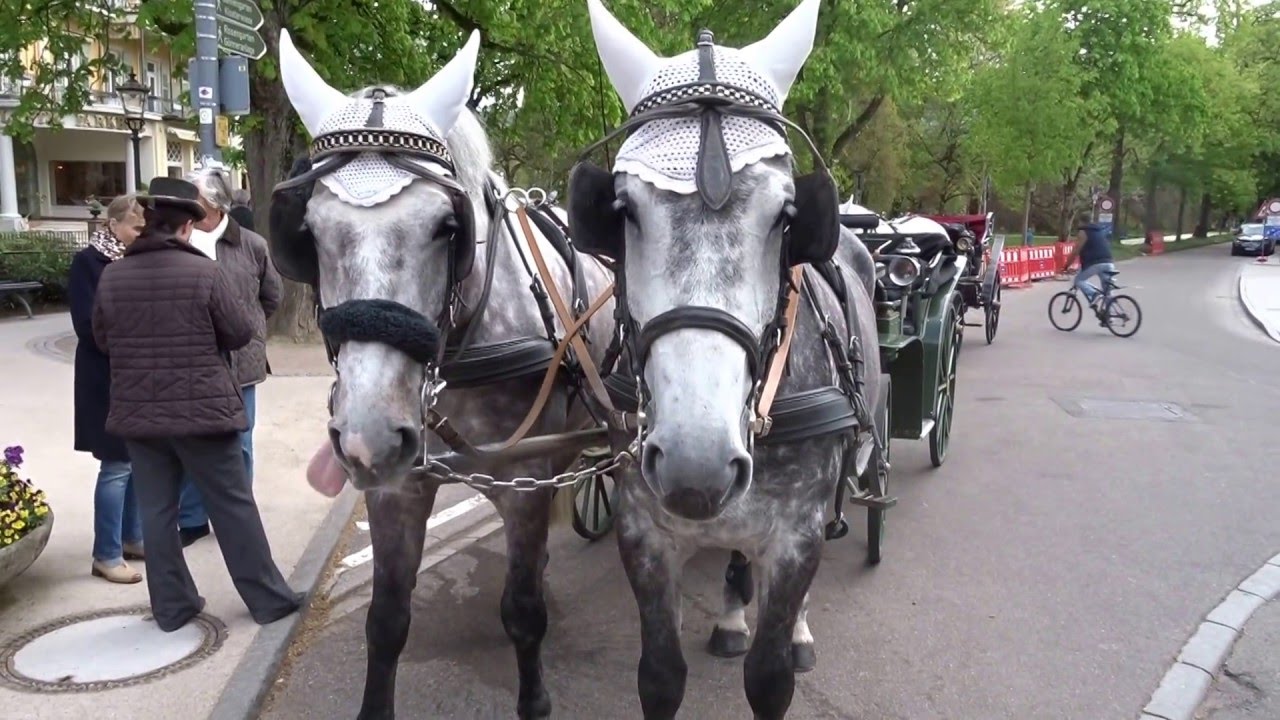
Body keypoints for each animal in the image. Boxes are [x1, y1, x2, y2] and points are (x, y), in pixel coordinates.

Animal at [270, 29, 618, 719]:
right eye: (310, 232)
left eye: (447, 226)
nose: (369, 437)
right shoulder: (399, 486)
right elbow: (386, 622)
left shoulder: (525, 481)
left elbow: (524, 614)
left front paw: (535, 699)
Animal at [566, 0, 886, 717]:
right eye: (622, 210)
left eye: (787, 214)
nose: (697, 463)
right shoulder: (644, 535)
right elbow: (659, 675)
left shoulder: (795, 535)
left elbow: (770, 678)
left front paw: (784, 639)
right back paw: (734, 615)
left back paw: (796, 629)